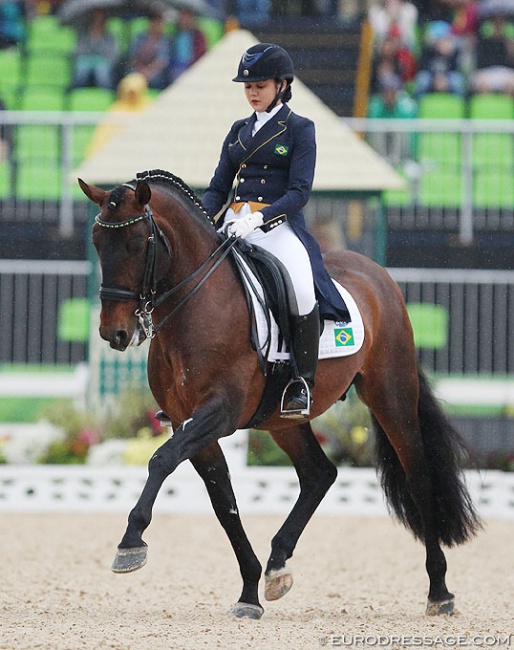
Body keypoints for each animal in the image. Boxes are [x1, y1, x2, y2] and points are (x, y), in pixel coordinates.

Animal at [79, 167, 476, 616]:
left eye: (135, 243)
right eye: (97, 242)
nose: (114, 333)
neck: (197, 305)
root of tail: (375, 273)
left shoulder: (219, 412)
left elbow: (161, 461)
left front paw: (131, 543)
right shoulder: (188, 421)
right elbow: (224, 503)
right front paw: (249, 592)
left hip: (391, 395)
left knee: (419, 474)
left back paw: (439, 591)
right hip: (283, 419)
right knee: (320, 474)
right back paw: (277, 566)